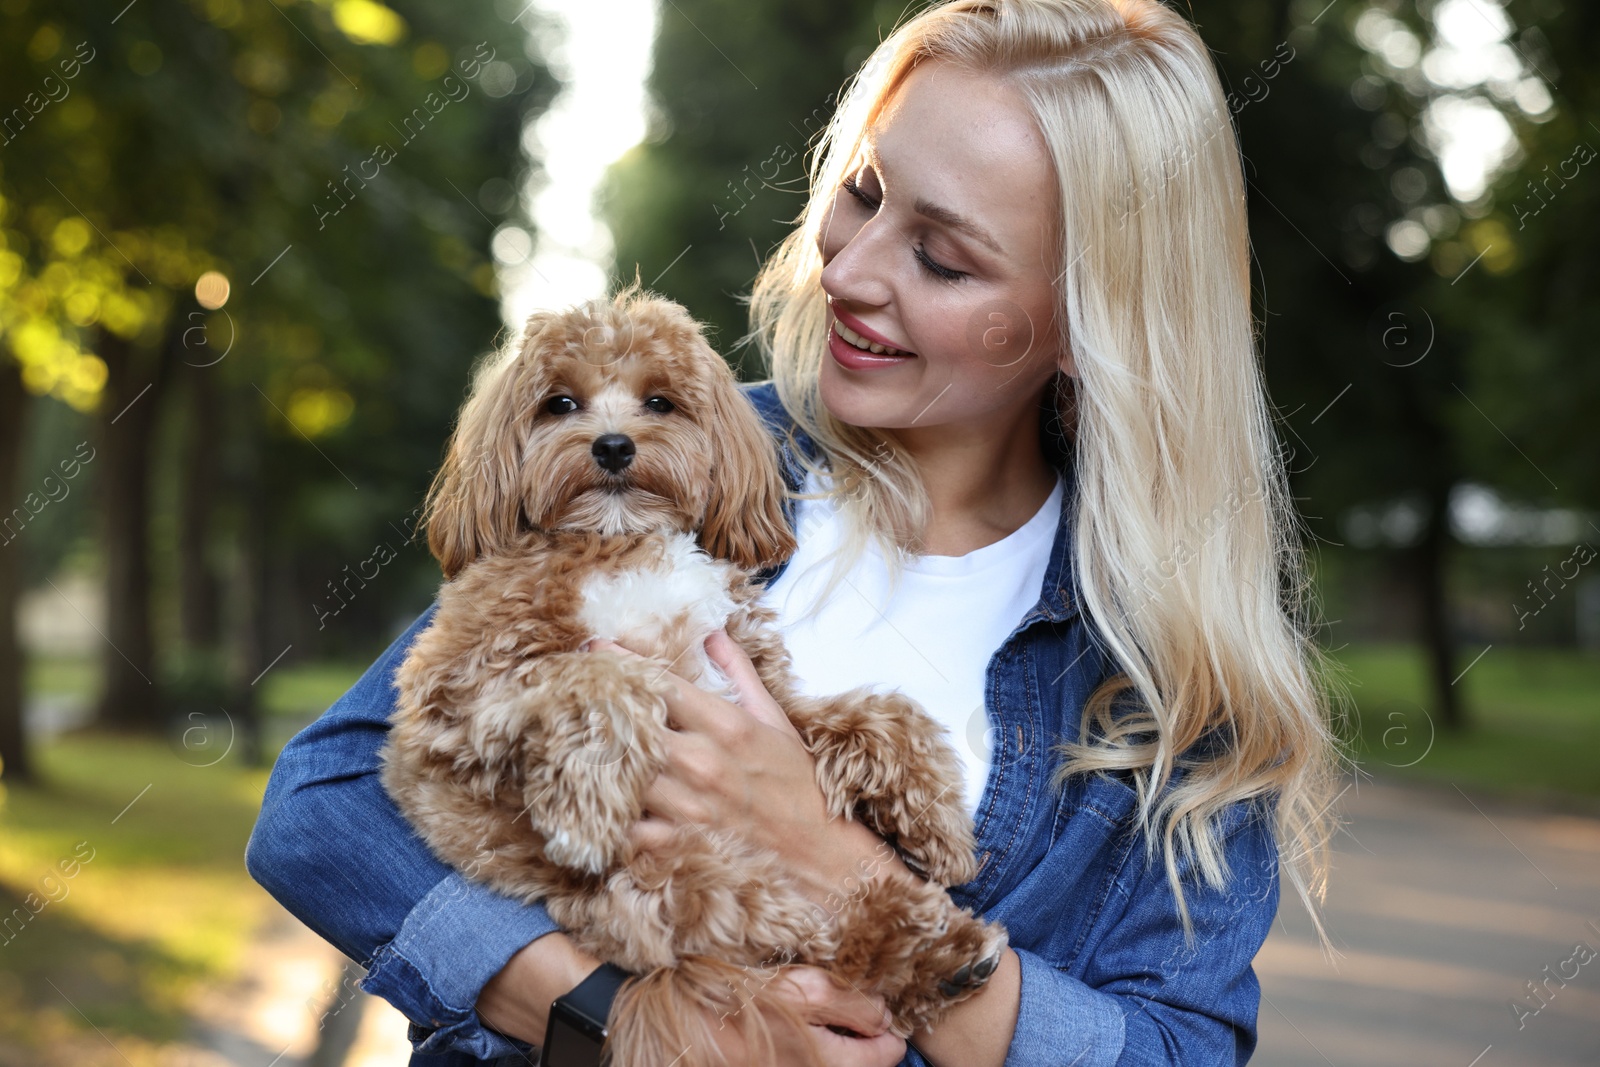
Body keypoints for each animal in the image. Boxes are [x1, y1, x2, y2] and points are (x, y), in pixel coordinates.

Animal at [380, 287, 1004, 1062]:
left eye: (659, 401)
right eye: (560, 403)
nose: (613, 445)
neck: (620, 540)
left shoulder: (751, 680)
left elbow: (881, 716)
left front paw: (939, 825)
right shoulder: (454, 689)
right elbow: (600, 678)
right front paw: (587, 810)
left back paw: (945, 955)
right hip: (678, 882)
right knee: (793, 929)